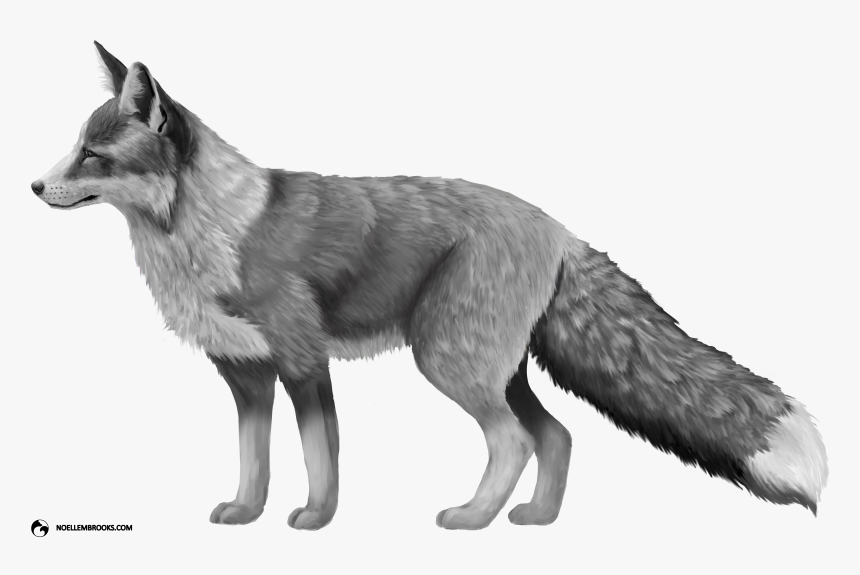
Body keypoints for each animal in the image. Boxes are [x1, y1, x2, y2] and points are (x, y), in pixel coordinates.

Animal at [32, 42, 828, 531]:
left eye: (94, 156)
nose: (35, 186)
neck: (209, 231)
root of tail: (558, 226)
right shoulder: (246, 375)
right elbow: (253, 460)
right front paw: (246, 513)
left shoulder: (302, 360)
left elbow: (320, 458)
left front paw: (315, 521)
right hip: (492, 368)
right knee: (558, 435)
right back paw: (535, 519)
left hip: (447, 360)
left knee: (515, 440)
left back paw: (472, 519)